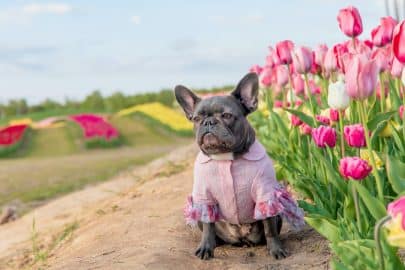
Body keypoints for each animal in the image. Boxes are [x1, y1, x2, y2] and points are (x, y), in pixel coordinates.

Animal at [174, 71, 304, 260]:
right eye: (197, 119)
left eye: (227, 116)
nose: (208, 122)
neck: (224, 157)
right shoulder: (205, 198)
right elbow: (208, 226)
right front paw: (206, 248)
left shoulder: (265, 194)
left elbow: (270, 227)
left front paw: (276, 249)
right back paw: (216, 242)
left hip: (277, 214)